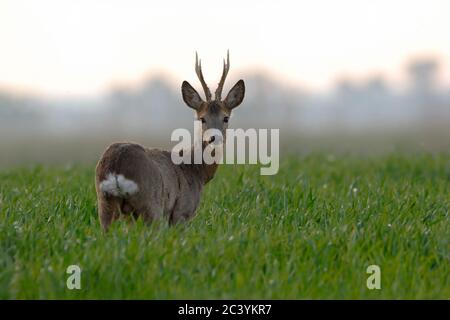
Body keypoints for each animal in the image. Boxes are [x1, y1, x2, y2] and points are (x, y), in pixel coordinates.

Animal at [93, 51, 244, 229]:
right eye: (202, 118)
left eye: (226, 118)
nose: (214, 138)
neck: (196, 170)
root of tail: (116, 167)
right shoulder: (182, 210)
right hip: (151, 206)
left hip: (105, 204)